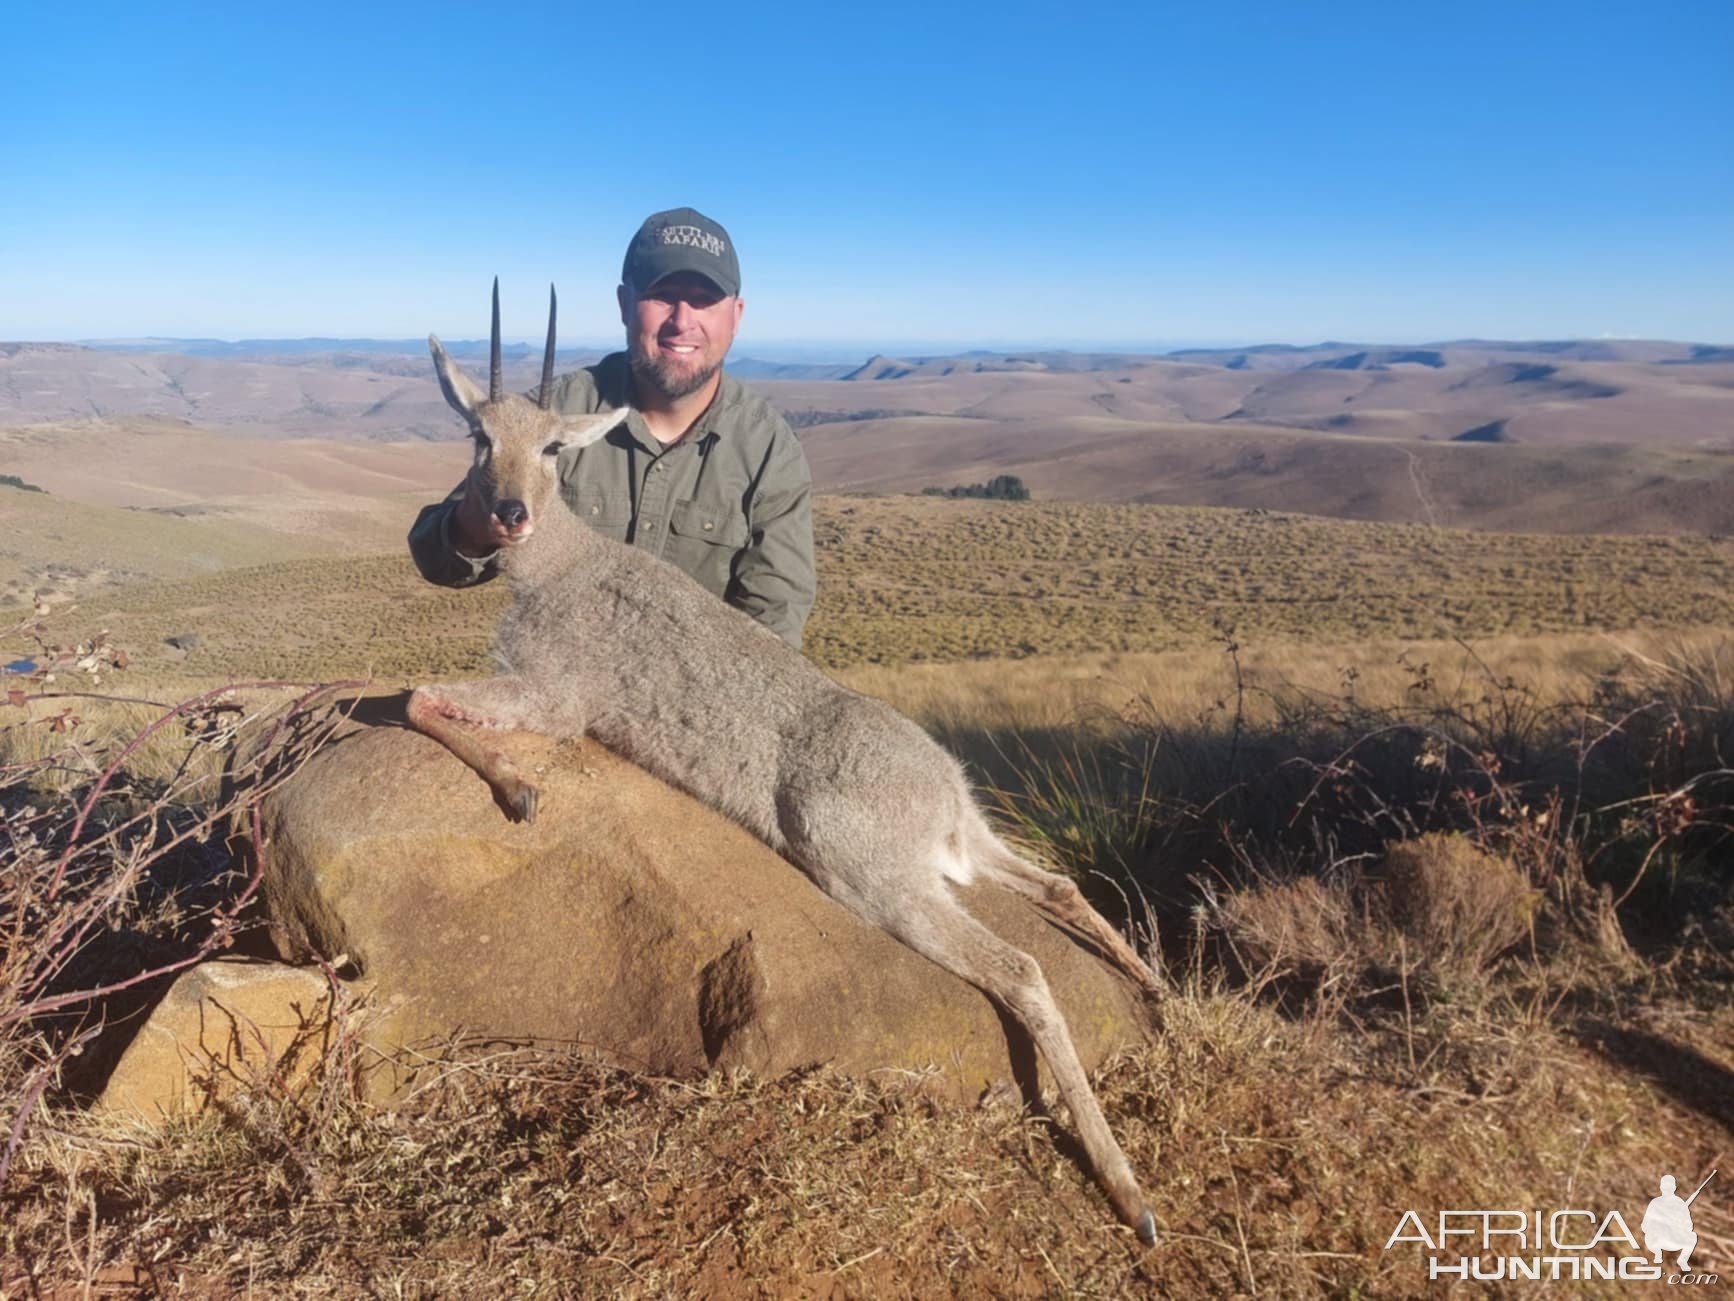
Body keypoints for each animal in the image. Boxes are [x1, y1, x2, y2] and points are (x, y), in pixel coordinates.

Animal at [407, 282, 1165, 1242]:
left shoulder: (560, 696)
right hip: (973, 847)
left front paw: (518, 788)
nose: (507, 512)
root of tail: (942, 797)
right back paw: (1156, 986)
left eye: (550, 444)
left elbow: (413, 697)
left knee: (1023, 969)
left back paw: (1131, 1193)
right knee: (1062, 885)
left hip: (872, 876)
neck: (559, 565)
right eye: (479, 437)